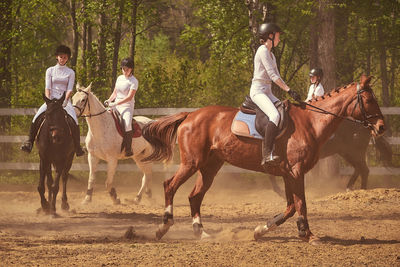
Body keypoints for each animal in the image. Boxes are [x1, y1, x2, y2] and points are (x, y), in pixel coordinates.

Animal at [141, 75, 384, 245]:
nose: (381, 127)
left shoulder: (288, 174)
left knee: (194, 197)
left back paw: (201, 233)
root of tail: (190, 115)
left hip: (210, 167)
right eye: (369, 99)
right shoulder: (296, 172)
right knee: (170, 186)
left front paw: (261, 230)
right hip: (192, 163)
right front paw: (308, 234)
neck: (311, 122)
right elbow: (301, 204)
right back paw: (163, 227)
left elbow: (290, 207)